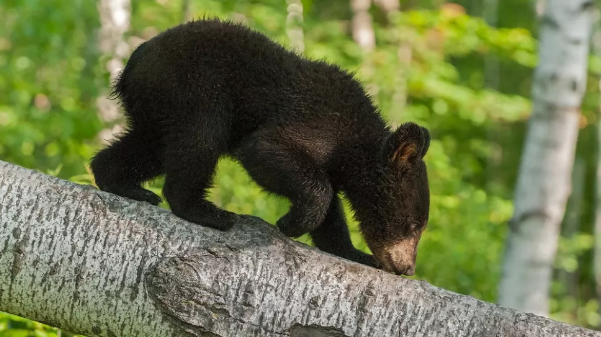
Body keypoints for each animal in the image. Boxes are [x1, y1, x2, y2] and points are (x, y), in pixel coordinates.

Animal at [89, 19, 428, 276]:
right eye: (413, 225)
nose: (407, 268)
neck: (353, 142)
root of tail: (131, 64)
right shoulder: (316, 121)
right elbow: (265, 150)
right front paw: (290, 224)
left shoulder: (332, 161)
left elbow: (331, 208)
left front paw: (354, 252)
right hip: (194, 90)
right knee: (201, 140)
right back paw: (208, 212)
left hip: (158, 110)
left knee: (149, 148)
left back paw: (123, 183)